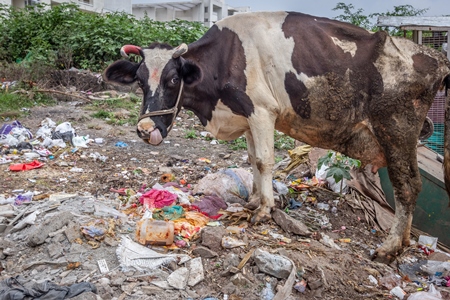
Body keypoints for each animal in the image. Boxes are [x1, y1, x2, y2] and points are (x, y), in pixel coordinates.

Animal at [103, 10, 450, 262]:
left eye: (174, 79)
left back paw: (390, 248)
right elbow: (252, 160)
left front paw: (264, 209)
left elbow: (265, 161)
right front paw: (254, 200)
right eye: (139, 80)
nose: (145, 130)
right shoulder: (247, 118)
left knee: (408, 187)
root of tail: (436, 58)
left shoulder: (261, 110)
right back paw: (403, 243)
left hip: (397, 129)